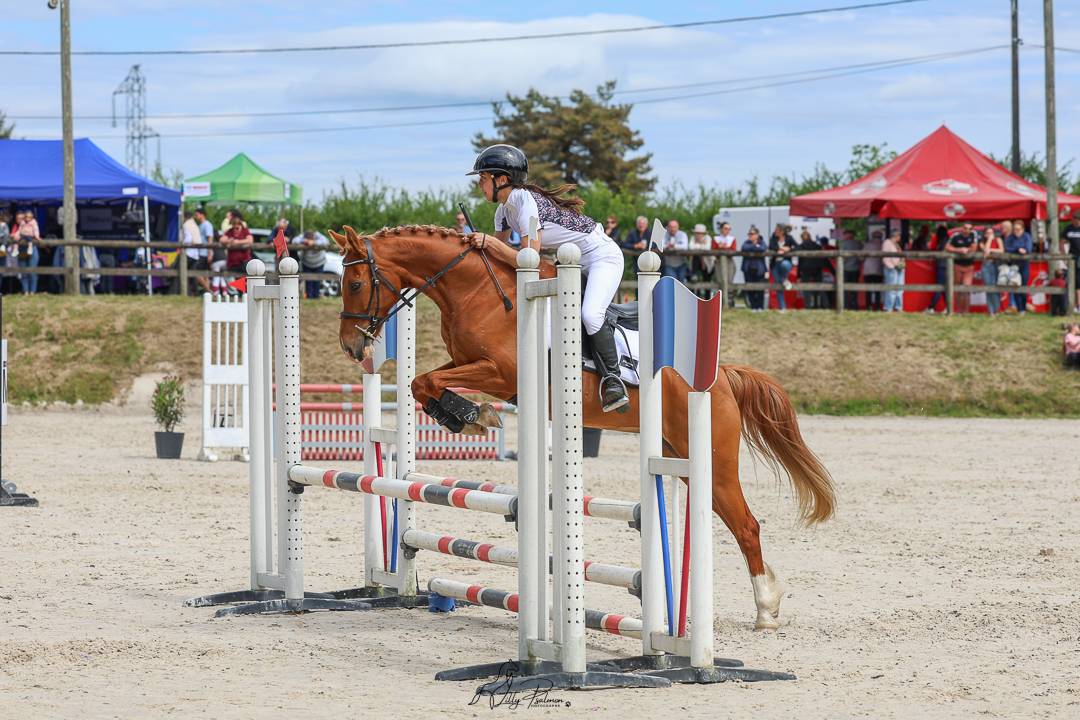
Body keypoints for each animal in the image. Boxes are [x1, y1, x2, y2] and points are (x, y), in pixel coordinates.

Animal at [327, 224, 835, 630]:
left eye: (355, 282)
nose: (351, 346)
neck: (478, 292)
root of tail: (722, 375)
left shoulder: (501, 373)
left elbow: (429, 381)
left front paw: (475, 416)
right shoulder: (469, 363)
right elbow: (421, 382)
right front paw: (465, 417)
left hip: (713, 459)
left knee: (747, 525)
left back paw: (765, 611)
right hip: (682, 457)